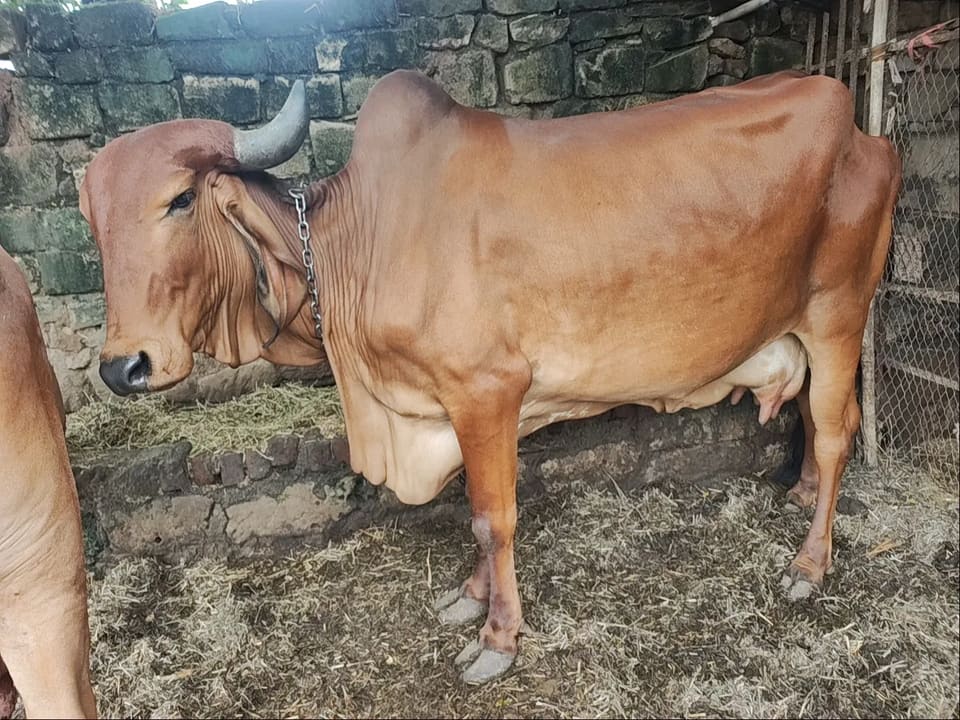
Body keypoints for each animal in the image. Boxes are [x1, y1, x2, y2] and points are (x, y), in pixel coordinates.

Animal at [79, 69, 901, 684]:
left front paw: (498, 639)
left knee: (836, 434)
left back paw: (810, 563)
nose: (124, 366)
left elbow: (491, 517)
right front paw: (471, 599)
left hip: (838, 315)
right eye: (90, 218)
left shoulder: (487, 391)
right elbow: (476, 515)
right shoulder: (455, 410)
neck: (362, 240)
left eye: (181, 200)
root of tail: (865, 132)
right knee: (815, 423)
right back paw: (798, 497)